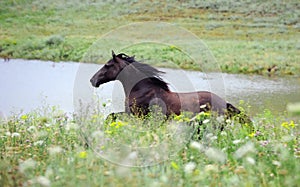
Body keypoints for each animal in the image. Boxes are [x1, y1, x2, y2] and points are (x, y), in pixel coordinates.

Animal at [90, 51, 252, 123]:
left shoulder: (136, 115)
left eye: (107, 65)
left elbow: (110, 116)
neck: (141, 90)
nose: (92, 80)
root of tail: (224, 103)